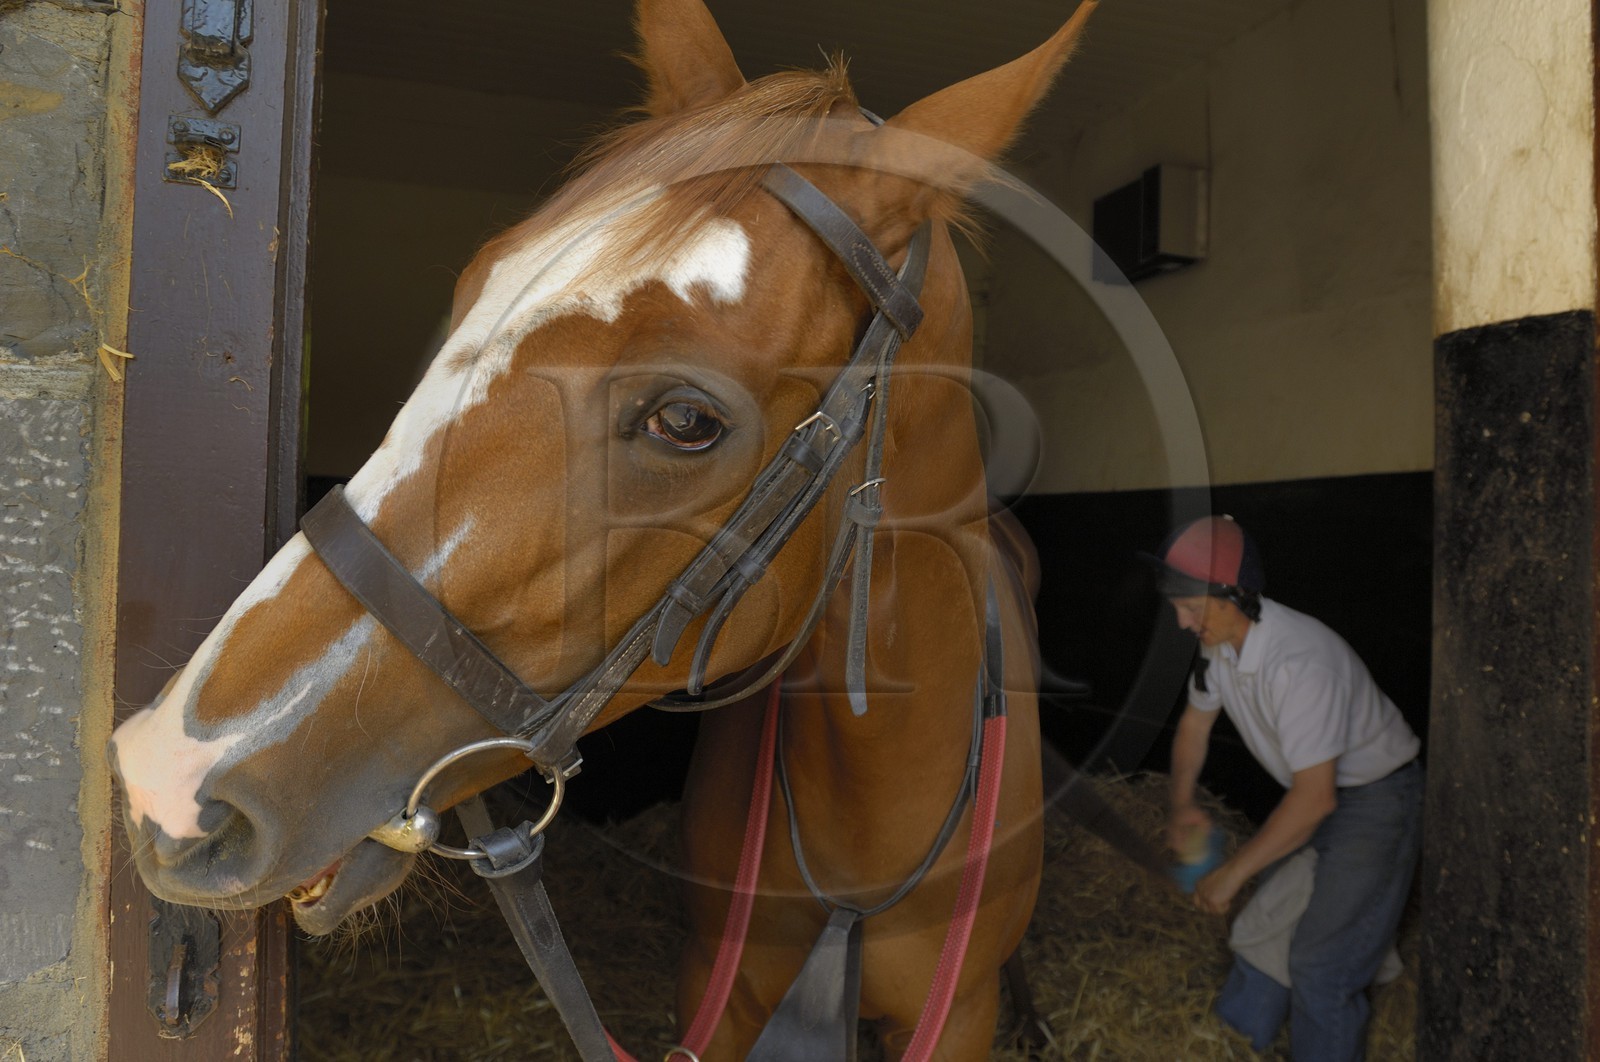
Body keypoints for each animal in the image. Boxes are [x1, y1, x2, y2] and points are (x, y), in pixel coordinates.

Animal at [110, 0, 1097, 1056]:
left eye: (686, 420)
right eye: (474, 291)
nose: (169, 775)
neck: (866, 821)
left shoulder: (957, 1015)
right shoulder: (717, 991)